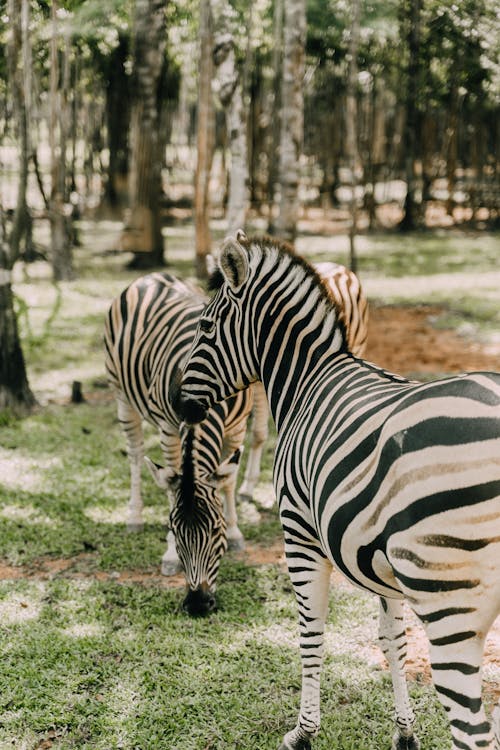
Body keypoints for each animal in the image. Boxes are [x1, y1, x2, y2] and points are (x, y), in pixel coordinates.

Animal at [106, 272, 254, 616]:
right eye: (174, 530)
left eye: (216, 530)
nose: (198, 604)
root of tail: (151, 277)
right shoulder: (168, 428)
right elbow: (173, 490)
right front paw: (171, 555)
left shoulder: (238, 424)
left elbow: (228, 482)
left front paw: (237, 533)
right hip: (122, 396)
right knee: (135, 455)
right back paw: (134, 517)